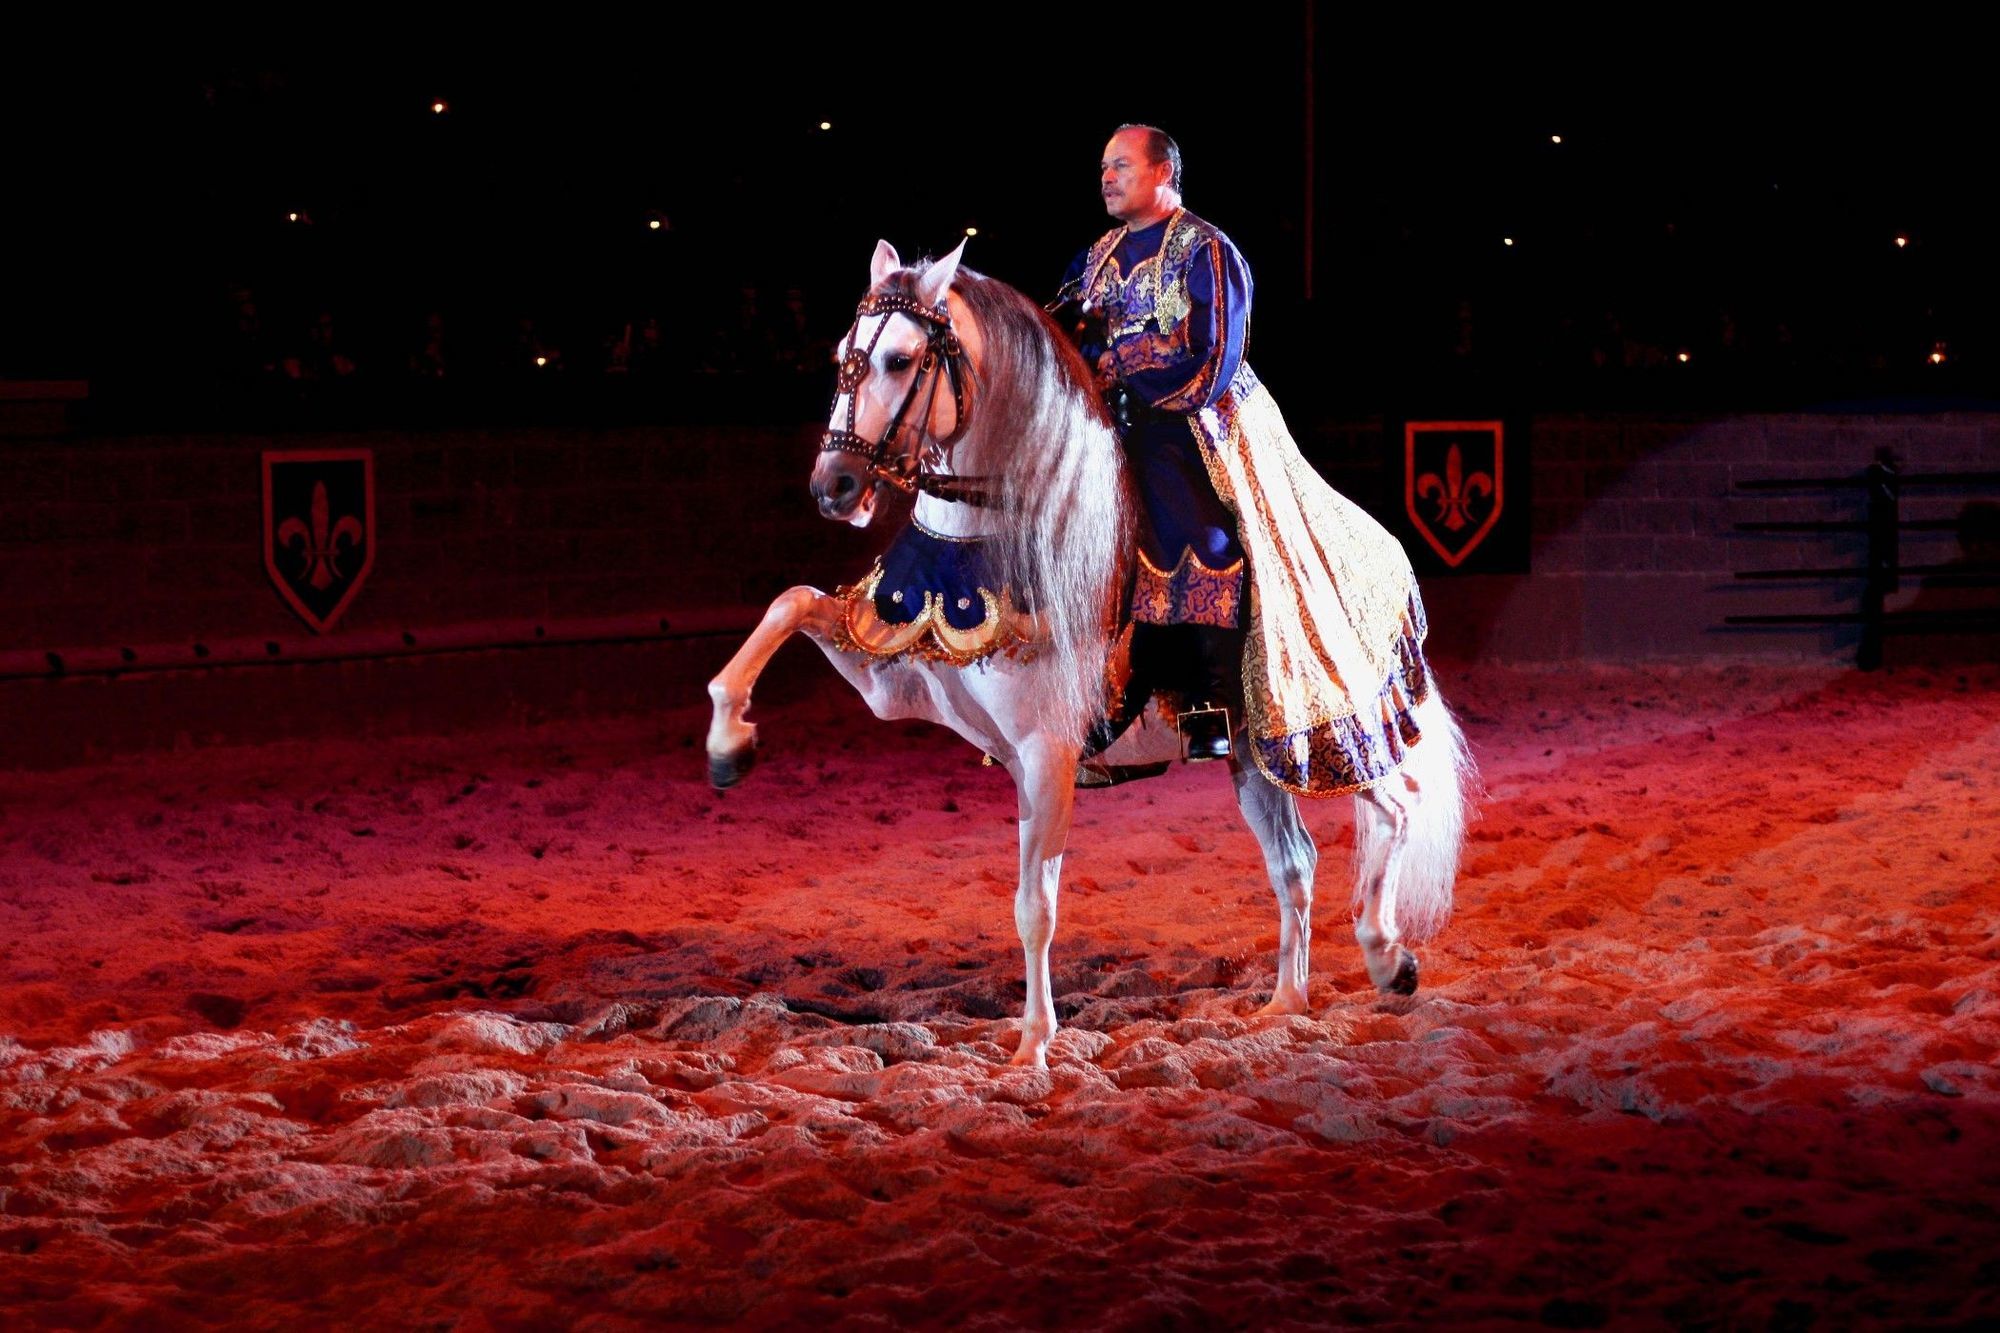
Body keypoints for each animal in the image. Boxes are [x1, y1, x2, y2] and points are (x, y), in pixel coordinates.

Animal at [712, 239, 1480, 1064]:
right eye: (841, 357)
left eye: (900, 358)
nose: (834, 485)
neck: (1001, 532)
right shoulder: (899, 677)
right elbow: (790, 601)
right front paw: (729, 742)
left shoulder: (1048, 751)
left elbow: (1035, 905)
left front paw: (1033, 1046)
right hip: (1249, 758)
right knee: (1295, 864)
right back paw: (1286, 1001)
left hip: (1320, 733)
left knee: (1398, 804)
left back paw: (1388, 956)